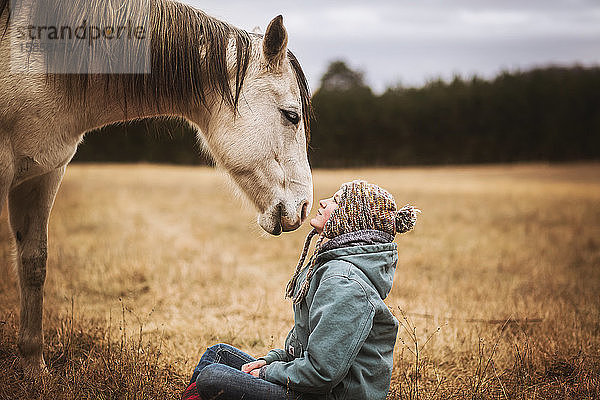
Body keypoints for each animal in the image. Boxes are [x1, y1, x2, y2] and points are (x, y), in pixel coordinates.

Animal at [1, 0, 314, 376]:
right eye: (291, 115)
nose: (305, 206)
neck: (41, 60)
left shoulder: (43, 175)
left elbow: (34, 263)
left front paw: (35, 369)